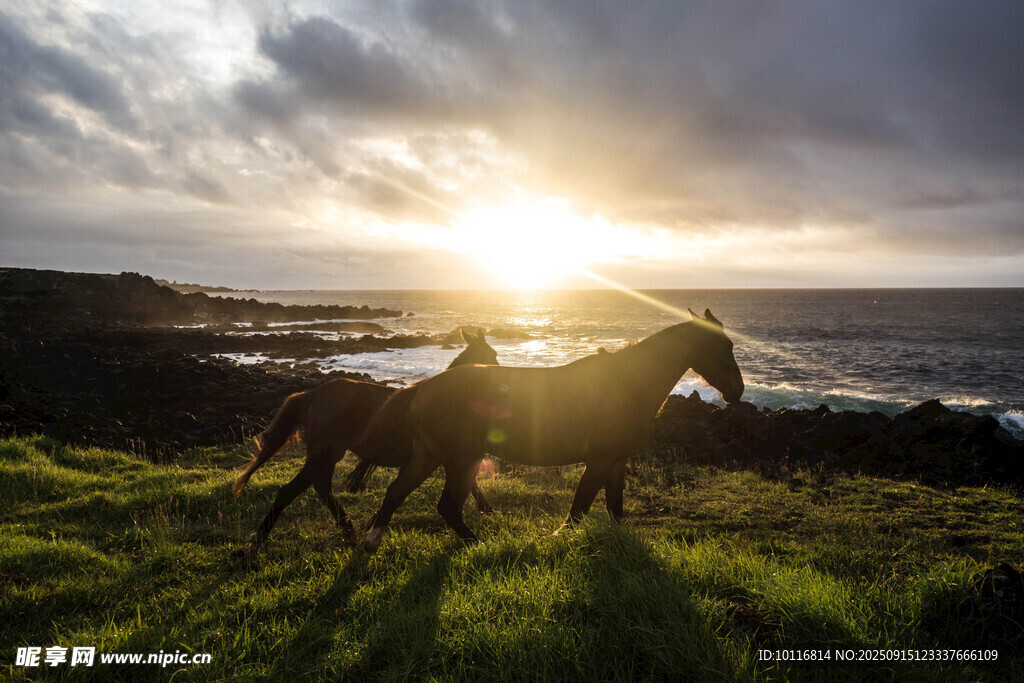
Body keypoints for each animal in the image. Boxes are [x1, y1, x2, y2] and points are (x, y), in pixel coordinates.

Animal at [231, 329, 498, 561]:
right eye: (492, 354)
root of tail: (311, 395)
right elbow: (468, 484)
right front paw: (487, 510)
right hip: (327, 452)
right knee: (292, 490)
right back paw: (255, 544)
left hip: (325, 454)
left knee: (319, 487)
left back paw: (347, 530)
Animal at [349, 309, 744, 552]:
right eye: (720, 345)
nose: (736, 391)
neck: (626, 381)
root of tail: (423, 387)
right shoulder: (598, 461)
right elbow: (580, 508)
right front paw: (558, 539)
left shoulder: (617, 461)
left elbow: (615, 509)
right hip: (462, 460)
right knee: (446, 506)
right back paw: (478, 544)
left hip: (428, 456)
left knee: (396, 492)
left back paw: (370, 541)